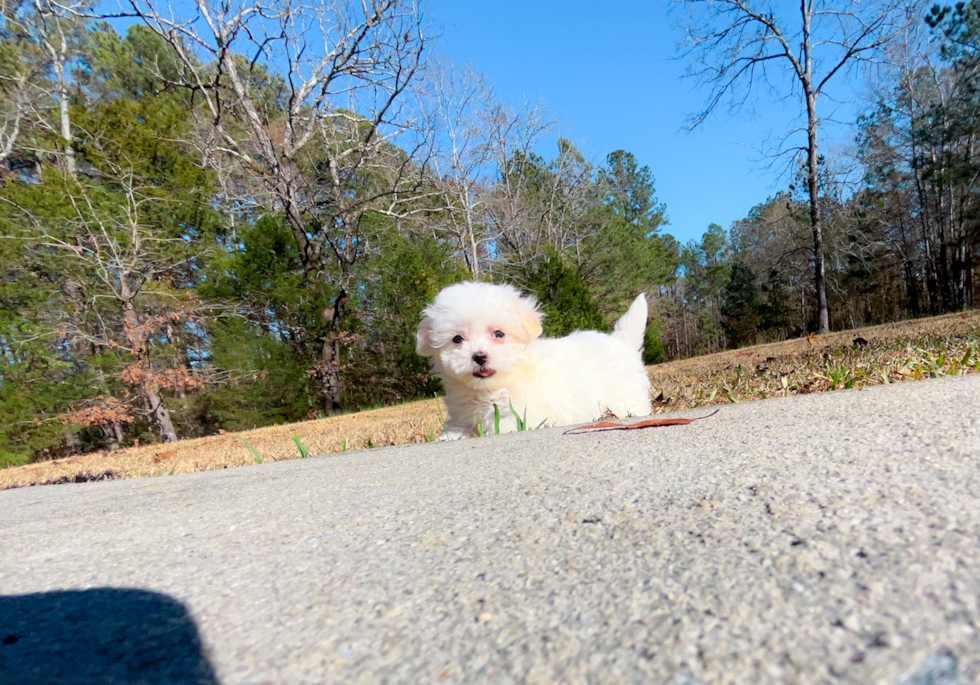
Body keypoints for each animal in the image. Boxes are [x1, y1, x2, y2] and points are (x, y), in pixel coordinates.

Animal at [414, 282, 652, 438]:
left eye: (498, 334)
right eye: (457, 339)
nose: (479, 356)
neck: (492, 388)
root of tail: (621, 342)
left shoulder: (525, 413)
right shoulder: (464, 414)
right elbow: (458, 428)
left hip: (626, 396)